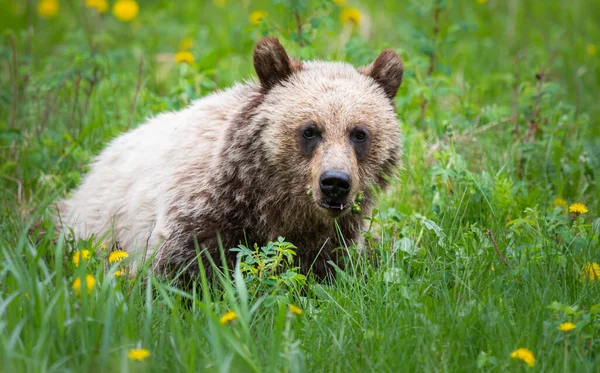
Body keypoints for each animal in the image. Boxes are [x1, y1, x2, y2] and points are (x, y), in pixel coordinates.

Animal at [57, 37, 404, 280]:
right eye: (310, 130)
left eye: (359, 133)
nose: (335, 182)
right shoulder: (201, 216)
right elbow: (180, 272)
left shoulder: (331, 238)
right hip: (95, 224)